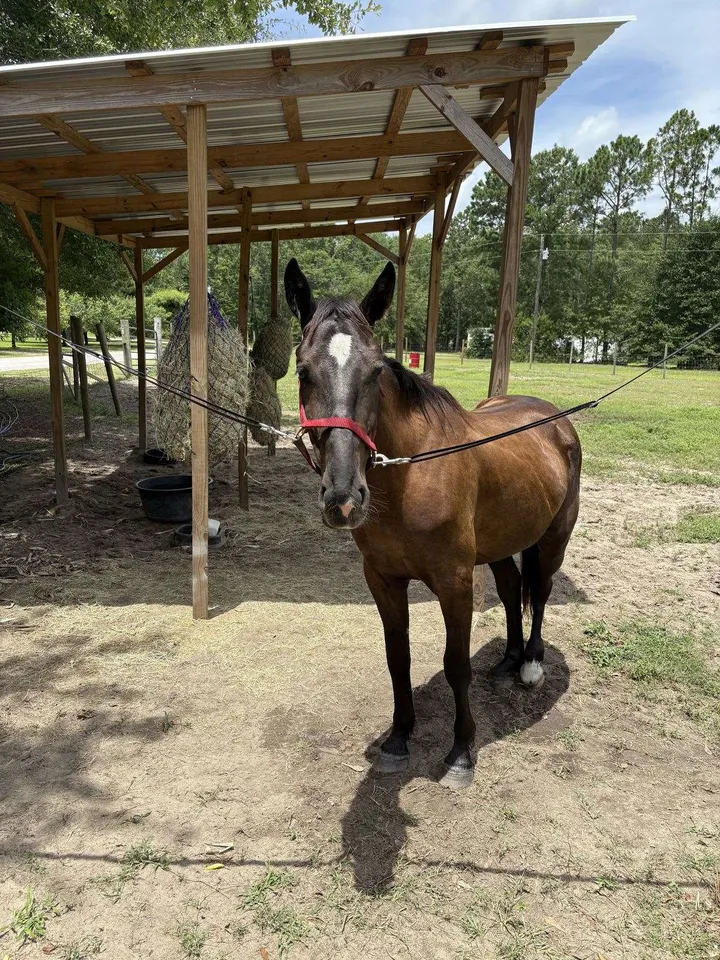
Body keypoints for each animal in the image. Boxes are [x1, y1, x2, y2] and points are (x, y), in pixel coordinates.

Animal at [285, 257, 582, 789]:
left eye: (376, 370)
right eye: (302, 371)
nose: (344, 498)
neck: (413, 475)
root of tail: (556, 419)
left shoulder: (454, 582)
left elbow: (455, 664)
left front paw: (461, 752)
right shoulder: (383, 579)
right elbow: (397, 657)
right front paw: (398, 738)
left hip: (552, 540)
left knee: (541, 591)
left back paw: (529, 665)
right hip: (499, 544)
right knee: (511, 590)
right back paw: (508, 660)